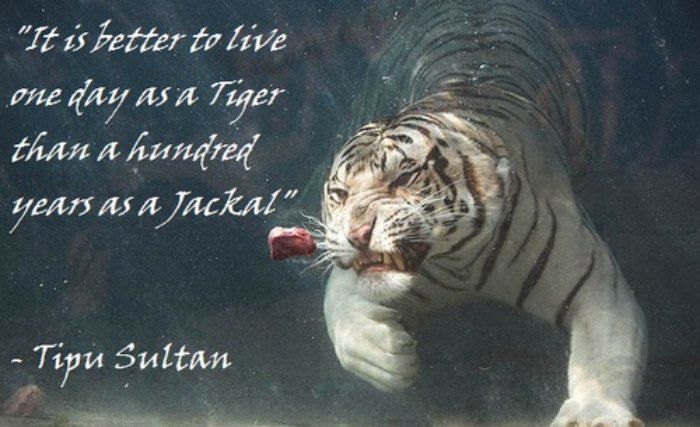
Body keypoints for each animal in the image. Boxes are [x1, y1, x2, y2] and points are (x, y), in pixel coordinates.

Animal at [317, 1, 648, 426]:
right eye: (340, 194)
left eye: (404, 176)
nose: (358, 234)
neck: (462, 264)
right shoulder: (352, 279)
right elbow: (341, 316)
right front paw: (389, 353)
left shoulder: (596, 285)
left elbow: (603, 358)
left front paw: (595, 413)